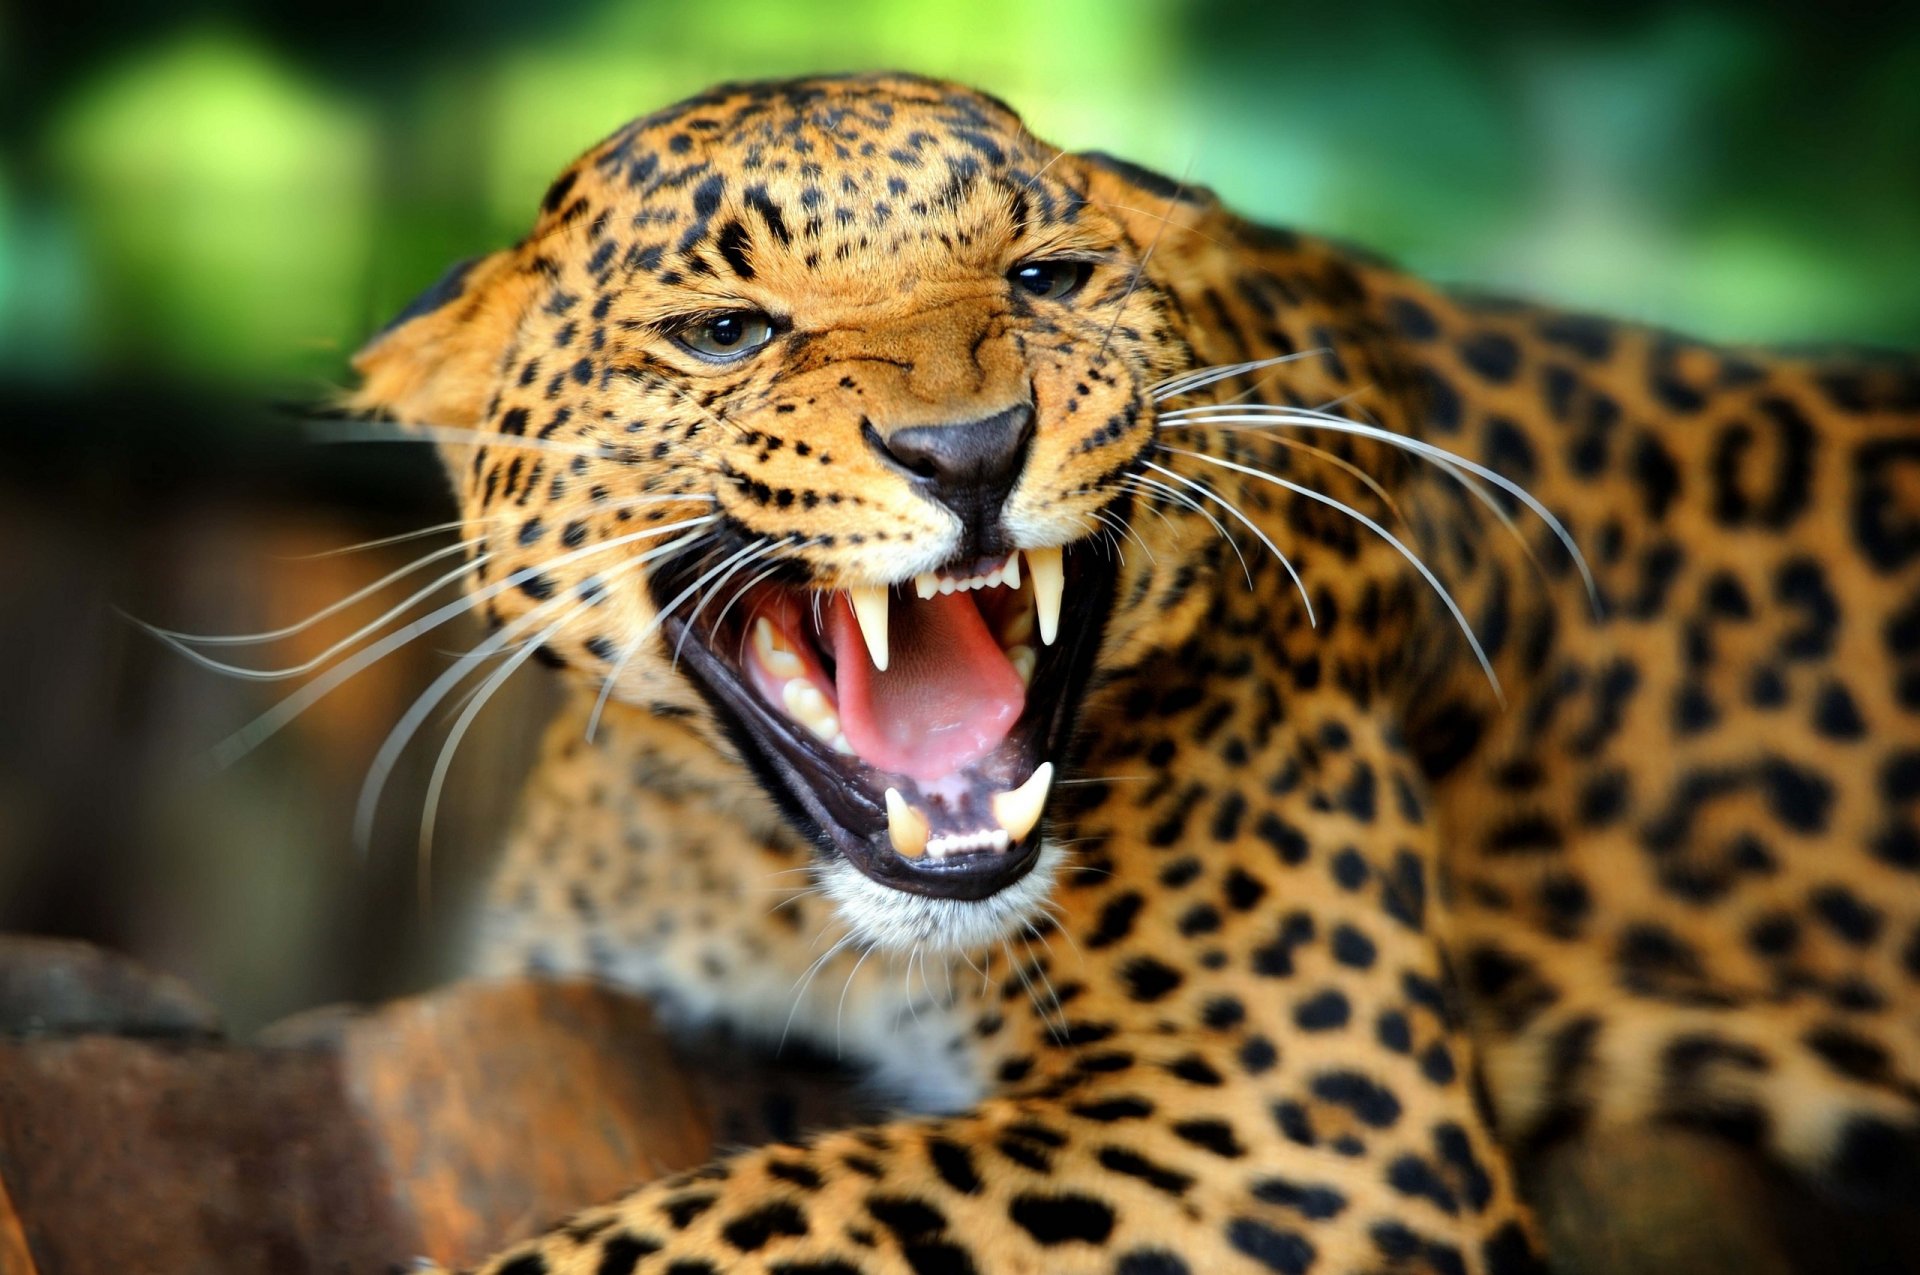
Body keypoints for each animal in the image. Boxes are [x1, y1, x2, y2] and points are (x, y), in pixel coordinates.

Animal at [345, 72, 1920, 1275]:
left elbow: (753, 1206)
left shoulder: (1302, 1121)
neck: (758, 879)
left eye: (1047, 278)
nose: (970, 449)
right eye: (727, 330)